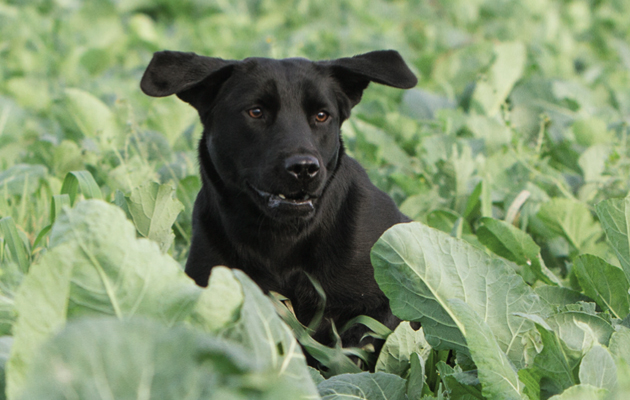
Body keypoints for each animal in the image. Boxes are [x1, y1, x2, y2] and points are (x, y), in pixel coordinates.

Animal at [141, 50, 418, 354]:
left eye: (321, 115)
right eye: (256, 112)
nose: (304, 168)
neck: (283, 239)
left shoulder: (388, 301)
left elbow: (362, 339)